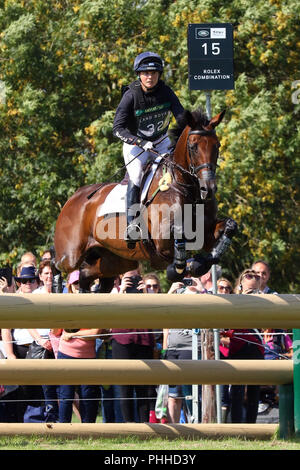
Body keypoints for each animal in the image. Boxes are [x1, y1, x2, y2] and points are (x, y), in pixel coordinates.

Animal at [53, 109, 237, 292]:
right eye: (193, 147)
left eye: (217, 146)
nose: (208, 189)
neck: (186, 189)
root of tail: (74, 198)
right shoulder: (161, 240)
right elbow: (178, 238)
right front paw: (182, 269)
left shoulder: (206, 233)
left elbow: (229, 227)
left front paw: (199, 263)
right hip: (71, 255)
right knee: (57, 264)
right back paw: (55, 284)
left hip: (117, 260)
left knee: (87, 274)